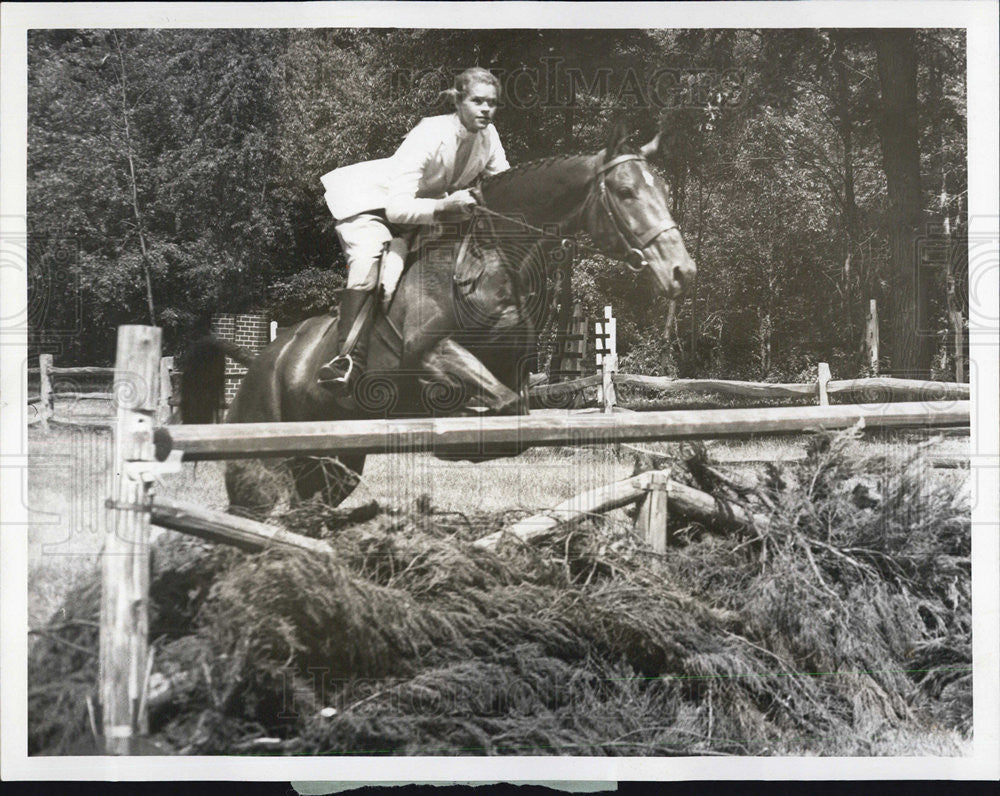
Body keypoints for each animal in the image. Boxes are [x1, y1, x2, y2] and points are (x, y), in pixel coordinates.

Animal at [180, 121, 696, 520]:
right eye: (626, 192)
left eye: (664, 192)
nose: (682, 272)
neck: (496, 259)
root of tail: (263, 360)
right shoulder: (430, 353)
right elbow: (492, 402)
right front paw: (457, 430)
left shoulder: (513, 368)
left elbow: (514, 412)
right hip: (264, 454)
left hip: (333, 463)